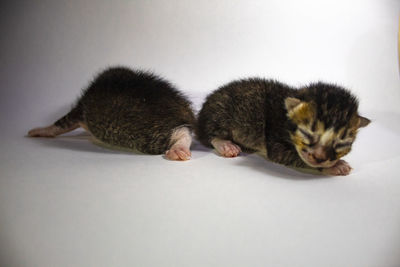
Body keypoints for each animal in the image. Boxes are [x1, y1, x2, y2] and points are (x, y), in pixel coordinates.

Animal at [28, 66, 195, 161]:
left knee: (180, 132)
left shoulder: (80, 110)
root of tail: (184, 110)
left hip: (147, 135)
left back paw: (178, 148)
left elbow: (60, 123)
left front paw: (40, 130)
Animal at [195, 79, 370, 176]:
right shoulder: (275, 137)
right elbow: (293, 157)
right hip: (221, 112)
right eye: (307, 134)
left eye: (340, 144)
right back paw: (225, 145)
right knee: (211, 134)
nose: (319, 158)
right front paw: (336, 166)